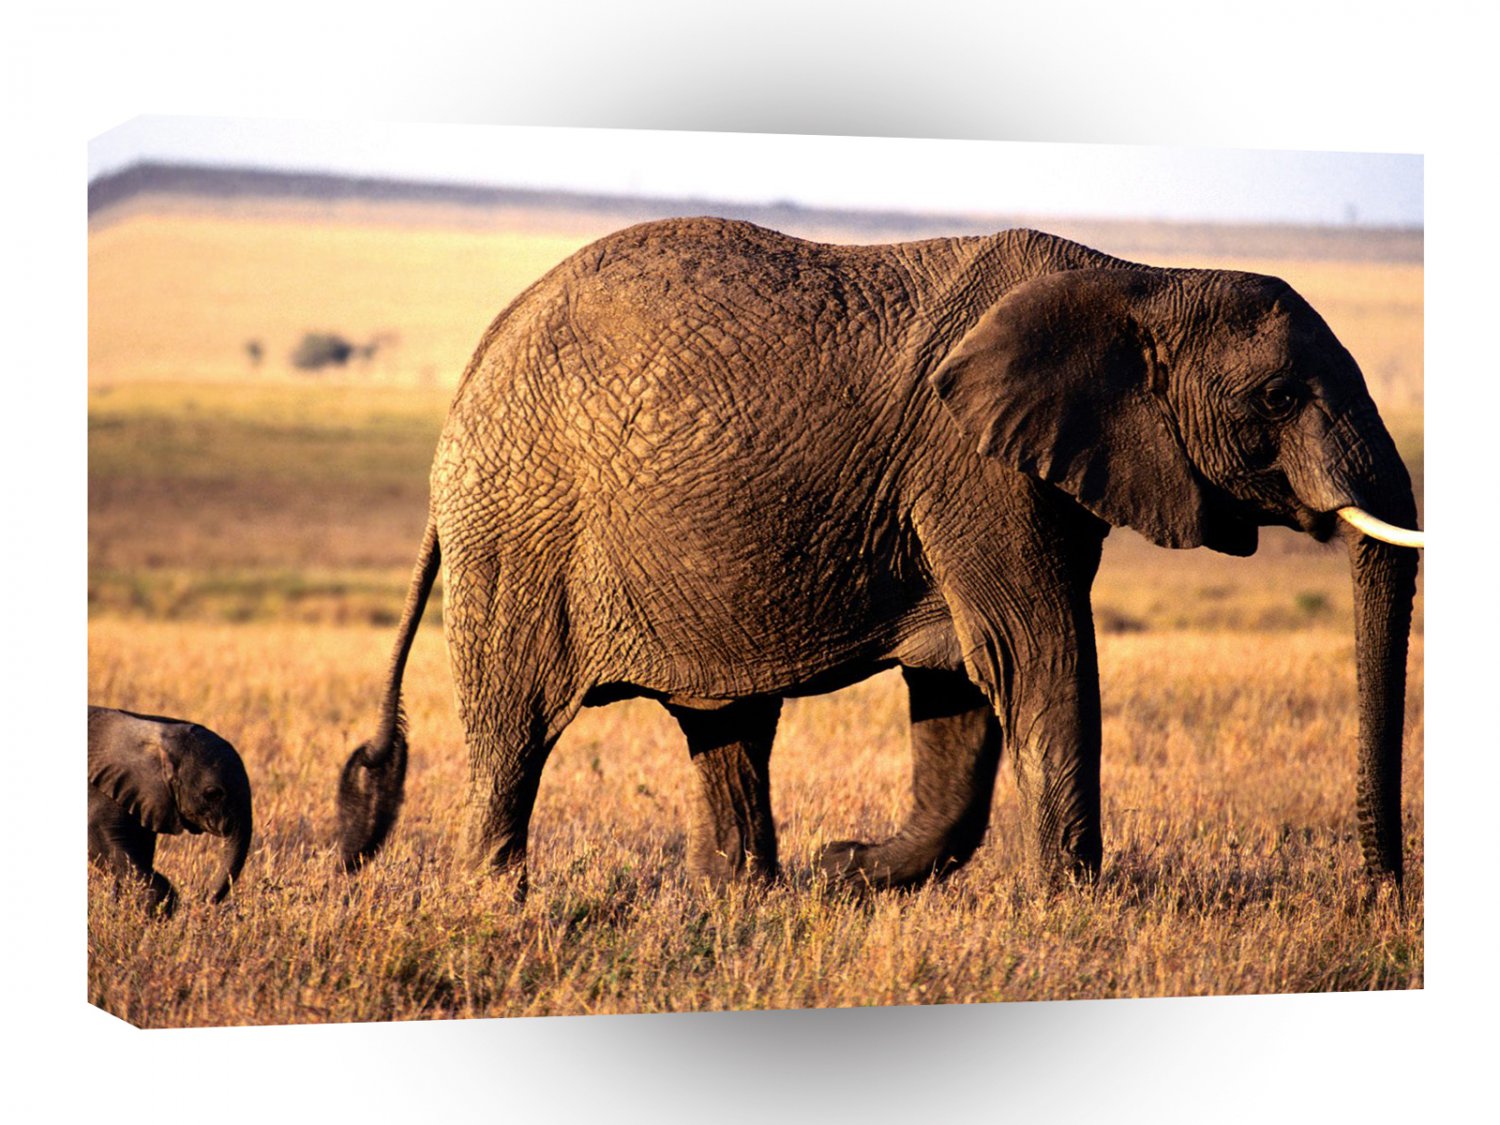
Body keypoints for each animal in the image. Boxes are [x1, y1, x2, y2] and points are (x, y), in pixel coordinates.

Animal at [336, 217, 1422, 896]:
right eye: (1280, 397)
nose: (1381, 892)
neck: (1137, 279)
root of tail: (473, 367)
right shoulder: (970, 464)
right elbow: (1034, 652)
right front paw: (1075, 907)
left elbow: (964, 685)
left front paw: (848, 871)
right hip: (518, 534)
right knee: (514, 730)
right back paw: (500, 905)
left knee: (727, 726)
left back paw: (748, 899)